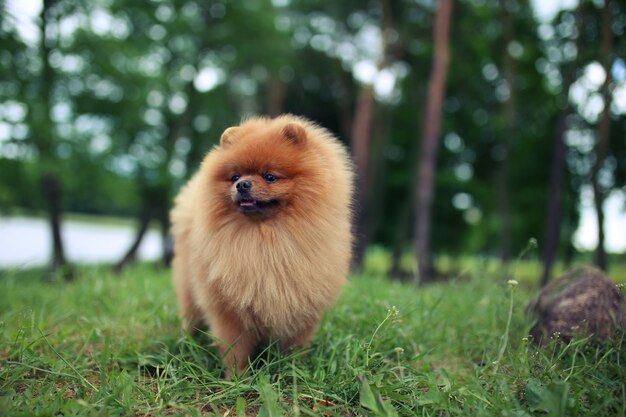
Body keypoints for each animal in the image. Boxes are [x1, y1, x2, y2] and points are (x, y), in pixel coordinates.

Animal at [168, 114, 354, 376]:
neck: (265, 240)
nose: (242, 185)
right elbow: (235, 349)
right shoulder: (229, 310)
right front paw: (237, 378)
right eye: (235, 177)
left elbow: (295, 345)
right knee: (190, 317)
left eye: (270, 176)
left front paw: (292, 370)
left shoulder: (303, 305)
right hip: (189, 290)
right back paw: (187, 343)